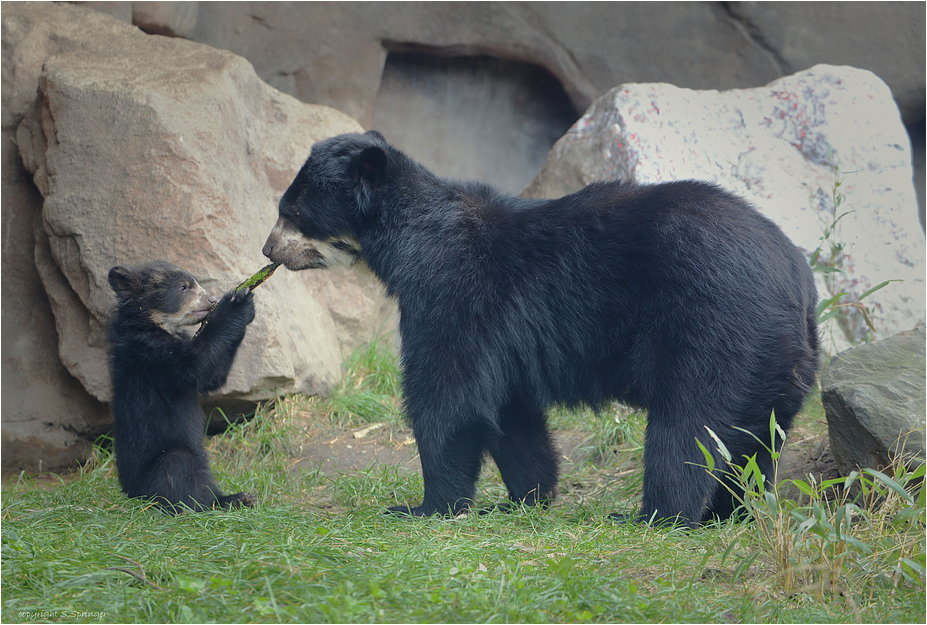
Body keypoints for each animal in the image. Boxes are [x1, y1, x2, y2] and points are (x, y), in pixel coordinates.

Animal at [109, 260, 258, 512]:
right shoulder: (150, 352)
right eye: (183, 287)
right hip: (161, 464)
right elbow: (195, 369)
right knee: (180, 471)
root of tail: (132, 493)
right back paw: (215, 503)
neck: (154, 324)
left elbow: (213, 376)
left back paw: (240, 497)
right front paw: (237, 302)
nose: (211, 300)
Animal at [262, 132, 820, 528]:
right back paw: (727, 513)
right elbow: (512, 414)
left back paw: (654, 516)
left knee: (687, 425)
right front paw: (527, 500)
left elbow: (449, 397)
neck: (407, 235)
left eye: (293, 212)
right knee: (755, 440)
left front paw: (425, 508)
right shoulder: (505, 333)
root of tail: (794, 276)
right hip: (778, 360)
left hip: (712, 323)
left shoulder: (454, 291)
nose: (269, 251)